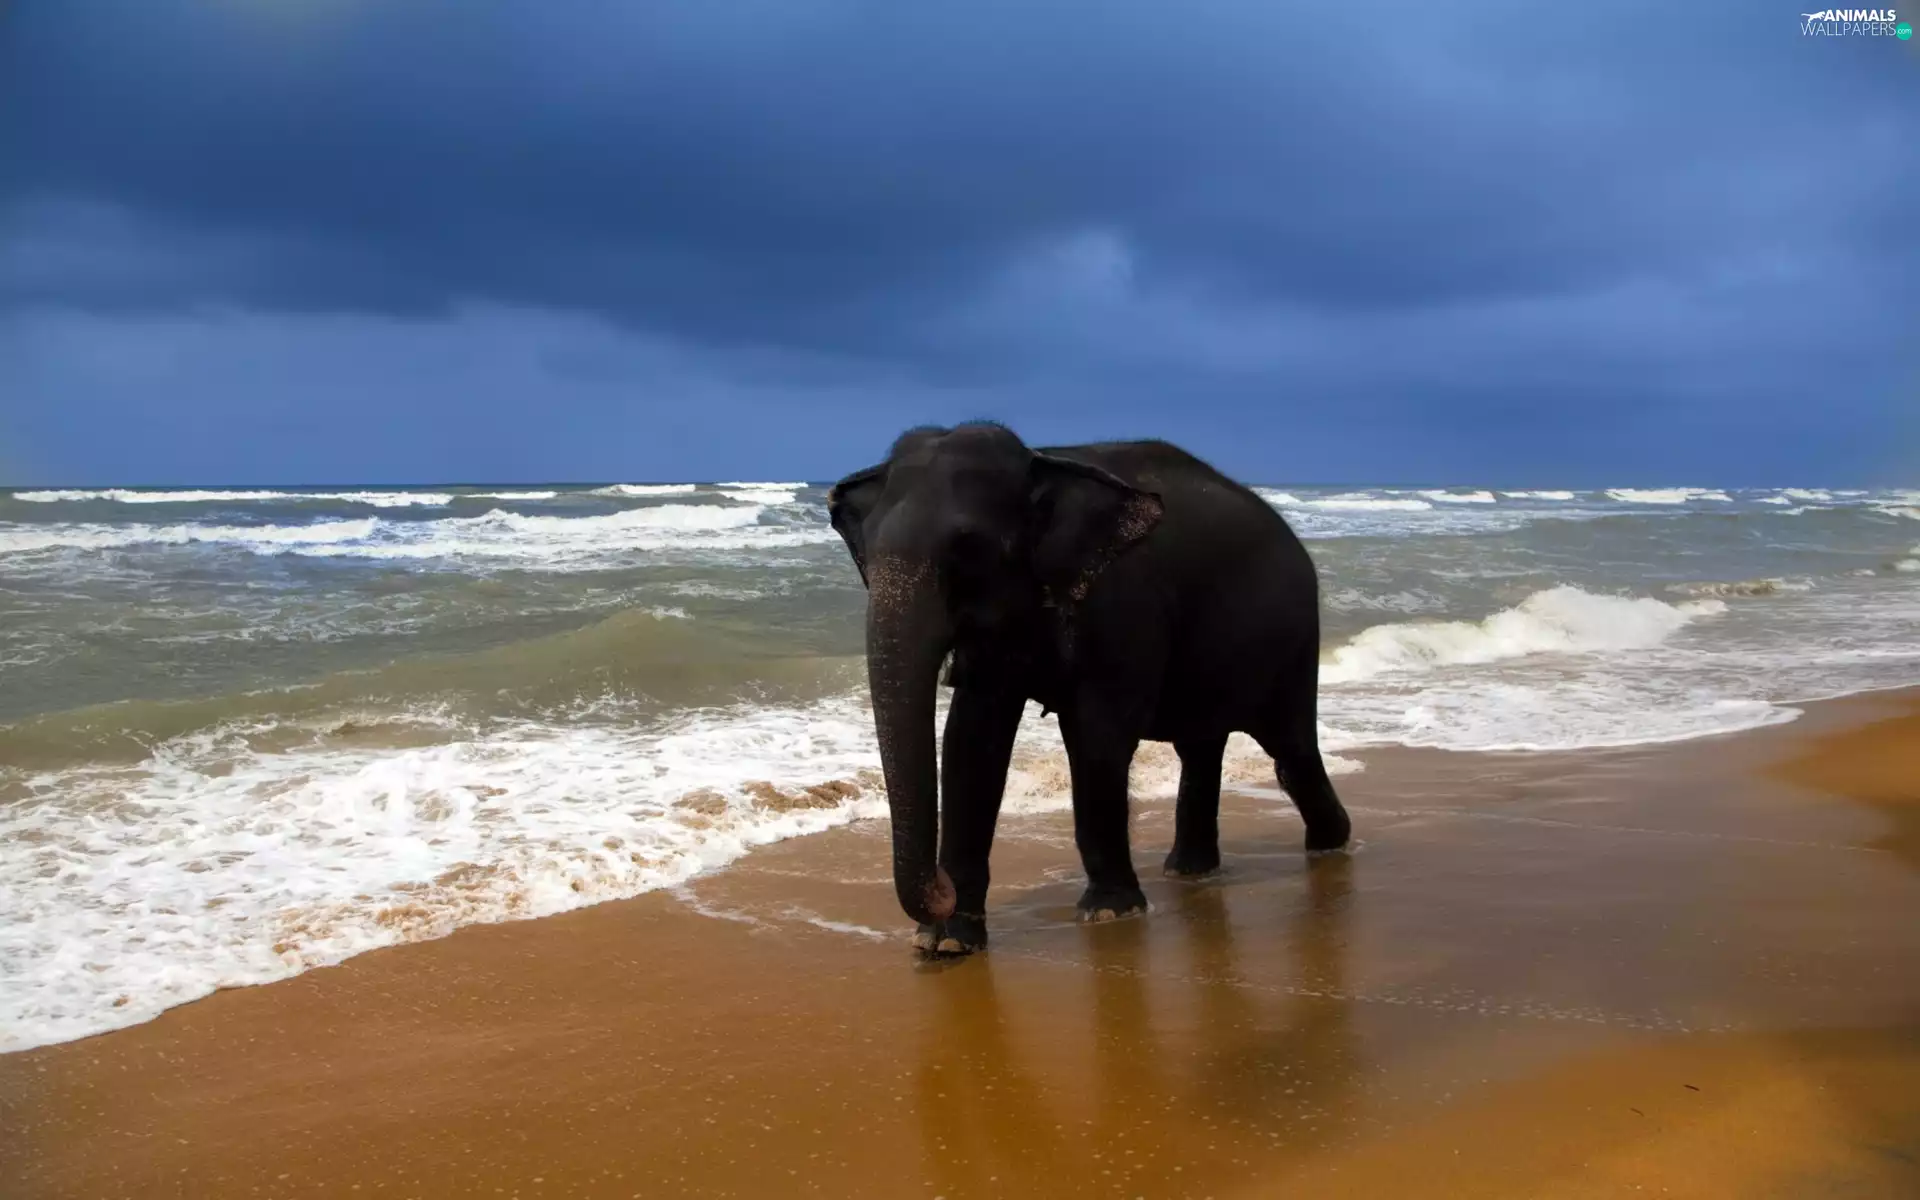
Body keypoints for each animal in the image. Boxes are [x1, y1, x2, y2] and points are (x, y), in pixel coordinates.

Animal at [827, 422, 1351, 956]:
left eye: (969, 548)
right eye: (865, 551)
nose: (942, 888)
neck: (1044, 462)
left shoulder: (1123, 603)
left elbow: (1097, 737)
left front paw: (1109, 912)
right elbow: (971, 740)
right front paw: (946, 943)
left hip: (1293, 640)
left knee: (1290, 749)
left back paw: (1330, 846)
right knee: (1203, 747)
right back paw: (1189, 871)